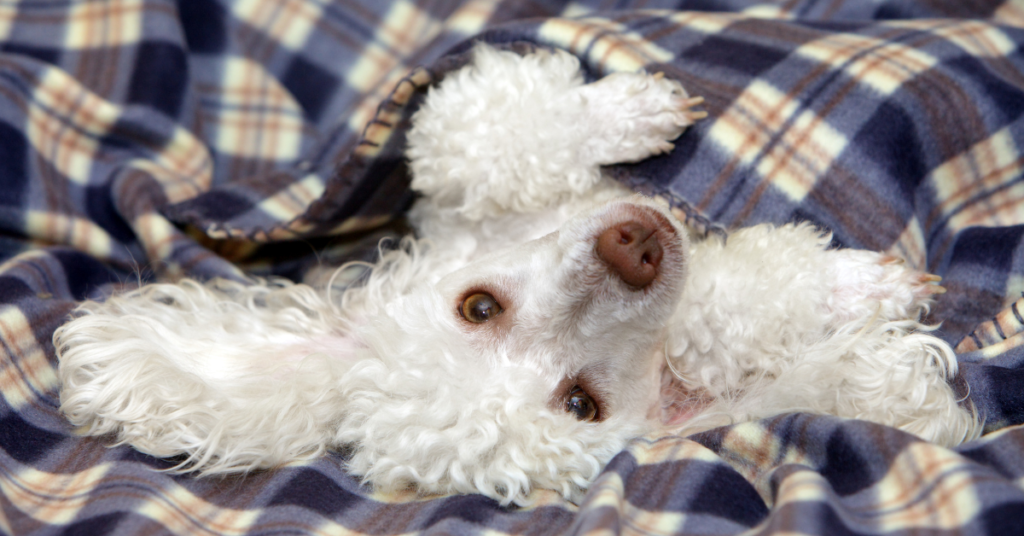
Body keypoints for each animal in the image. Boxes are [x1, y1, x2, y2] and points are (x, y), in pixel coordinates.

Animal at [51, 44, 978, 506]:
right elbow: (741, 310)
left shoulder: (456, 197)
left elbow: (478, 130)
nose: (635, 247)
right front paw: (855, 296)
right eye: (580, 405)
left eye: (477, 305)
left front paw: (624, 112)